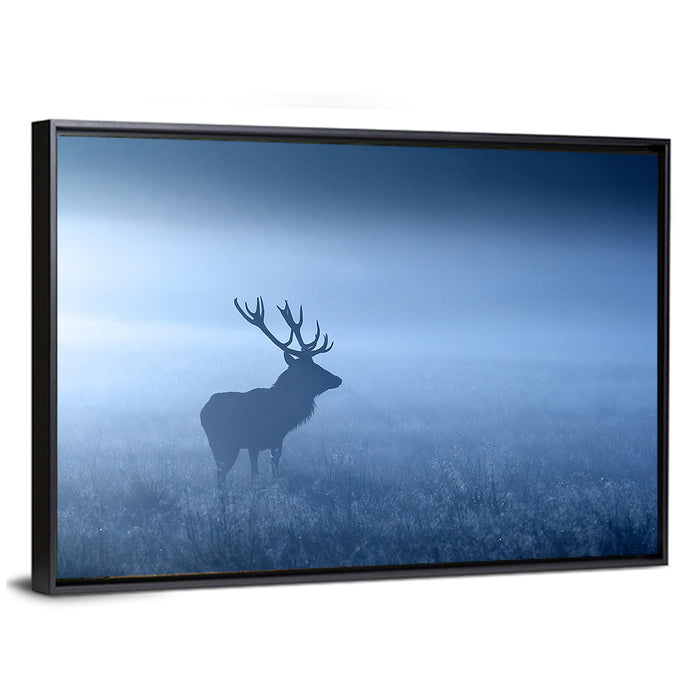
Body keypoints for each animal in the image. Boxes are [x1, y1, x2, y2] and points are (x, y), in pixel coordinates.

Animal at [200, 297, 342, 487]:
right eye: (310, 369)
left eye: (316, 364)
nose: (337, 379)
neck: (284, 414)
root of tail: (203, 411)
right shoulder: (256, 441)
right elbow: (256, 473)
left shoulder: (275, 440)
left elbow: (272, 469)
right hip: (224, 442)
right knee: (221, 475)